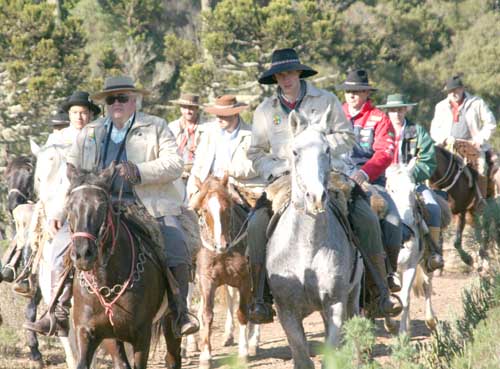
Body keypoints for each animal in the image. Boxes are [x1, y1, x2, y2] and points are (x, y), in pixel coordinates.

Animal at [65, 165, 181, 368]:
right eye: (70, 206)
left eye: (102, 205)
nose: (82, 254)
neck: (107, 283)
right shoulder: (92, 333)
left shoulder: (142, 336)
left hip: (170, 322)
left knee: (173, 356)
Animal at [189, 175, 260, 366]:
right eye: (205, 210)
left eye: (227, 209)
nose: (221, 245)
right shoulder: (207, 280)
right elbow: (206, 314)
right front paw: (206, 356)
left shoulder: (245, 279)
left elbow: (242, 313)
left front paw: (243, 351)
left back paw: (253, 340)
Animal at [268, 108, 362, 366]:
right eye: (295, 152)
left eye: (327, 150)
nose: (316, 197)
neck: (306, 247)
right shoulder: (287, 311)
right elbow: (302, 357)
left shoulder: (335, 303)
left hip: (353, 295)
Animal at [384, 163, 436, 334]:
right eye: (392, 189)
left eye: (413, 189)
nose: (408, 220)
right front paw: (391, 324)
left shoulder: (411, 266)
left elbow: (405, 297)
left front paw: (403, 333)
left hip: (425, 263)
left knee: (427, 285)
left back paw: (430, 320)